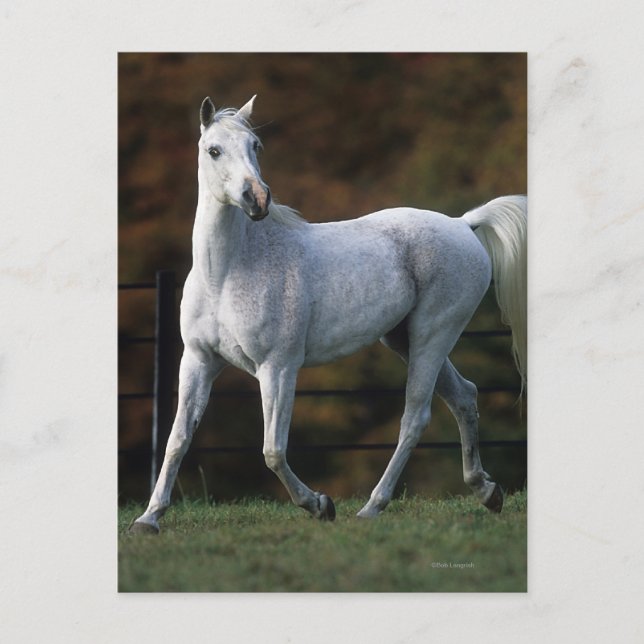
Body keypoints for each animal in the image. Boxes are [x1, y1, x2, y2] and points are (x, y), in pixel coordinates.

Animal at [130, 95, 527, 534]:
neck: (228, 272)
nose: (257, 199)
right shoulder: (199, 361)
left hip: (433, 336)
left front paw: (319, 504)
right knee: (464, 396)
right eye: (213, 150)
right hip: (404, 339)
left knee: (415, 417)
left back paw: (372, 506)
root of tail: (463, 223)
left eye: (256, 146)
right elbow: (177, 439)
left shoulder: (278, 368)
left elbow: (272, 450)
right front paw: (148, 518)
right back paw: (487, 492)